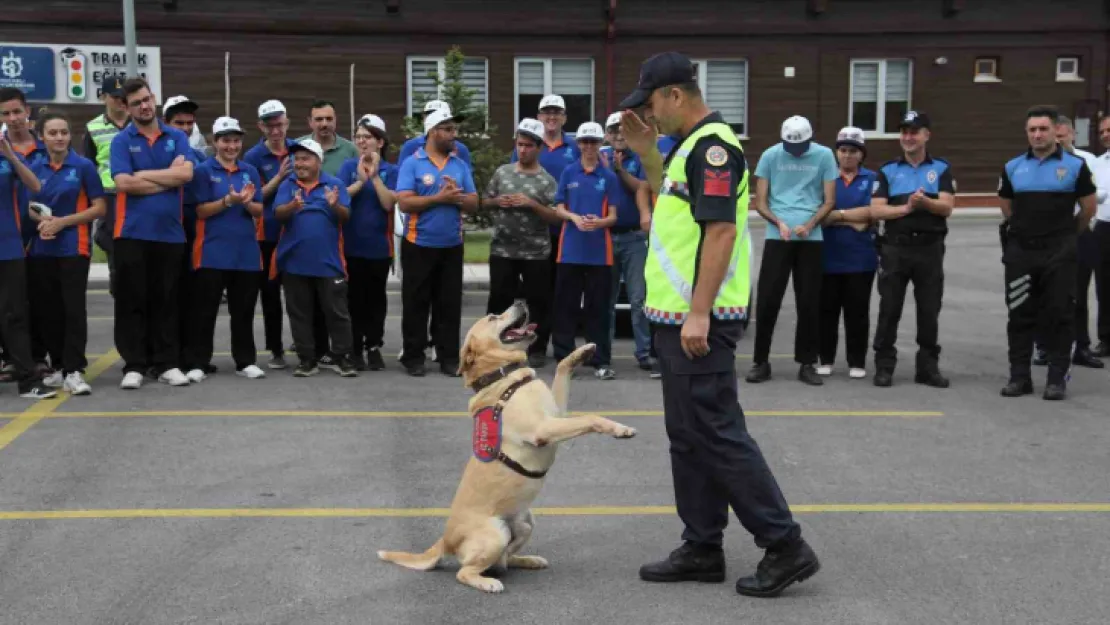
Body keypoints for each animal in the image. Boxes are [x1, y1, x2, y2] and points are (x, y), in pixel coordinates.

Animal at [379, 299, 634, 595]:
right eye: (493, 316)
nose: (520, 301)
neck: (505, 379)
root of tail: (445, 540)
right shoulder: (543, 429)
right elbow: (591, 418)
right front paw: (620, 429)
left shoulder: (556, 415)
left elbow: (562, 369)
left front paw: (581, 352)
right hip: (496, 533)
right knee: (466, 571)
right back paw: (487, 582)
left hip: (525, 523)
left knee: (504, 559)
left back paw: (528, 560)